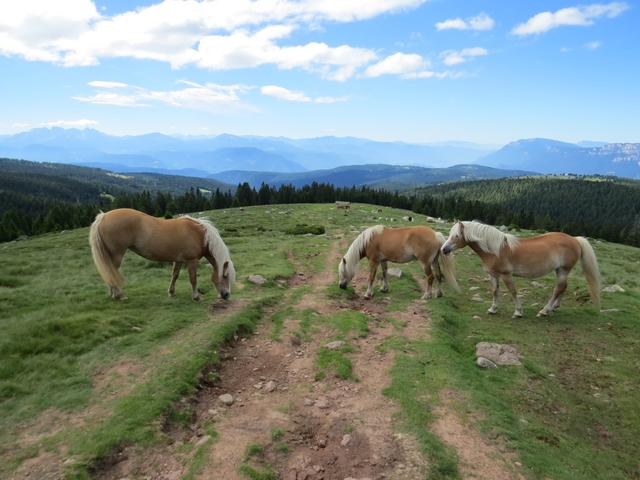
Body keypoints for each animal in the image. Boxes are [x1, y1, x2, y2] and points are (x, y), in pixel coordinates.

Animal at [90, 207, 238, 300]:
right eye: (225, 276)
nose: (226, 295)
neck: (199, 234)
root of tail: (103, 216)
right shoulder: (191, 260)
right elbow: (193, 278)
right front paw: (196, 296)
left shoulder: (179, 259)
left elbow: (175, 275)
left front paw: (171, 292)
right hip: (116, 254)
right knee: (112, 272)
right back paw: (119, 295)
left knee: (109, 273)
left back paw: (113, 294)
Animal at [440, 221, 600, 318]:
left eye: (456, 236)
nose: (444, 249)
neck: (496, 250)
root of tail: (574, 239)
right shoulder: (493, 275)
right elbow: (494, 291)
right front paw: (493, 309)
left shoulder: (506, 275)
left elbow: (512, 291)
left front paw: (518, 312)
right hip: (560, 270)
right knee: (563, 288)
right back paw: (554, 307)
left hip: (563, 270)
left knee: (559, 288)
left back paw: (544, 310)